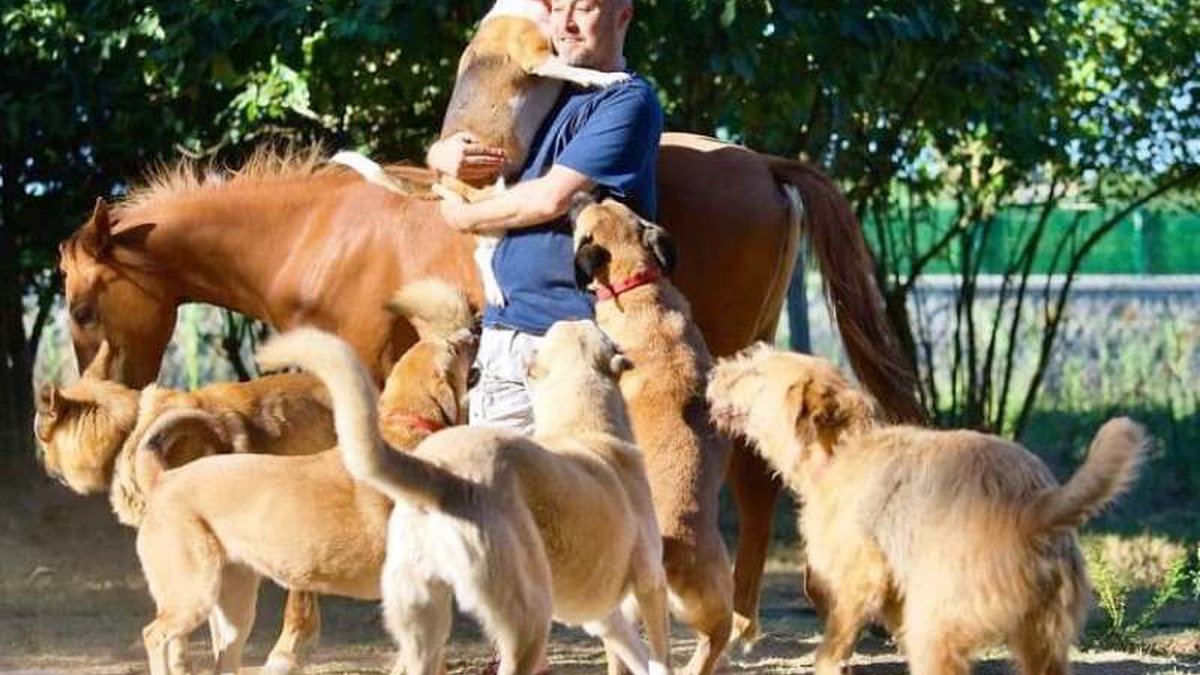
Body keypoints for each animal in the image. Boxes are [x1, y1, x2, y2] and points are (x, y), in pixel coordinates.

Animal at [127, 278, 472, 672]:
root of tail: (162, 479)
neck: (403, 423)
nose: (474, 330)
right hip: (192, 595)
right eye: (454, 348)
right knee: (155, 635)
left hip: (234, 607)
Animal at [260, 319, 676, 672]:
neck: (583, 427)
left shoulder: (605, 618)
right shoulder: (650, 584)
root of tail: (444, 477)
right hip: (528, 619)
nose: (475, 326)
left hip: (424, 624)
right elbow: (659, 657)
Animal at [705, 345, 1147, 672]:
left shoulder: (861, 577)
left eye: (756, 374)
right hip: (1043, 641)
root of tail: (1031, 509)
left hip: (936, 630)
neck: (842, 451)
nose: (712, 371)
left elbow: (836, 641)